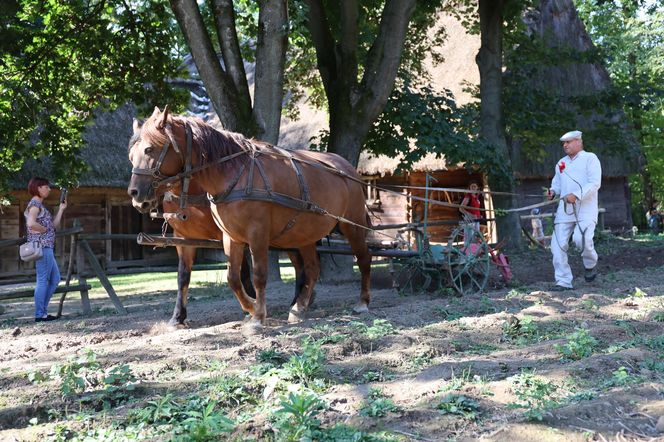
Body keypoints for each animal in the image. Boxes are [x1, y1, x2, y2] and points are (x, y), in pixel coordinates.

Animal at [127, 105, 370, 330]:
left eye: (149, 149)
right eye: (131, 156)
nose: (135, 194)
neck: (235, 174)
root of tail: (347, 168)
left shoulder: (257, 235)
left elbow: (257, 274)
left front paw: (257, 316)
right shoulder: (226, 237)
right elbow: (229, 278)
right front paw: (250, 307)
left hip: (352, 226)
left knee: (363, 259)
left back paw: (362, 303)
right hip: (303, 234)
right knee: (311, 269)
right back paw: (299, 307)